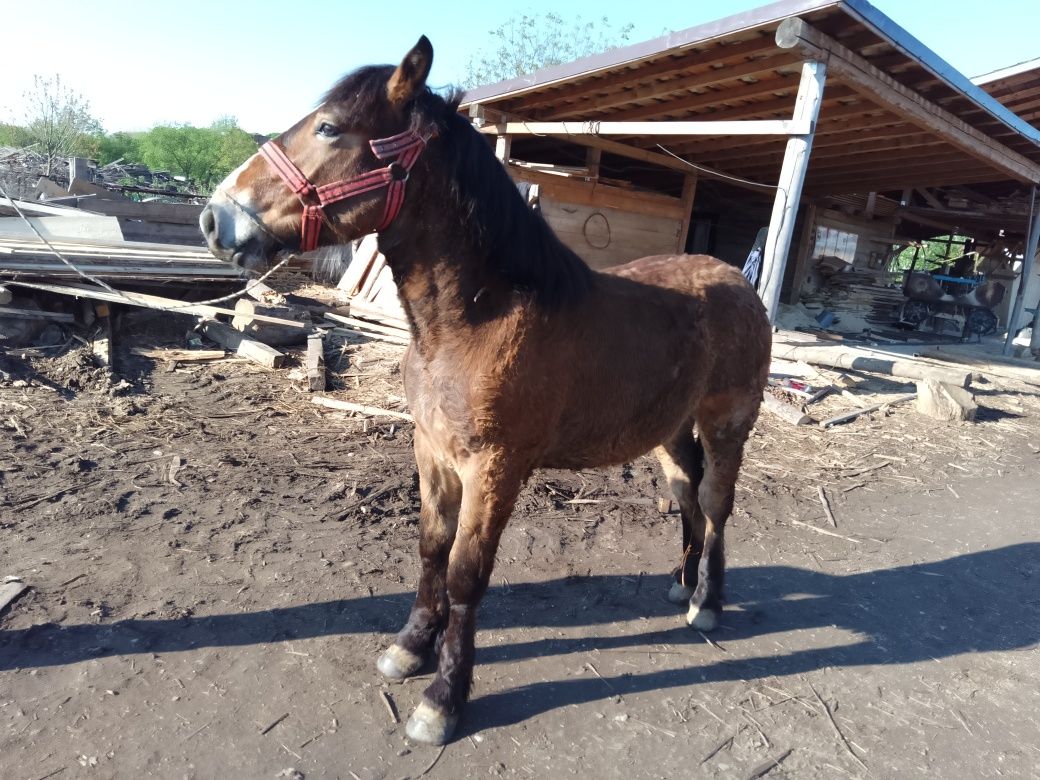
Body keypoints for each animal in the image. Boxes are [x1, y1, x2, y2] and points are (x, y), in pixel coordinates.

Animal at [200, 36, 773, 744]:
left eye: (330, 128)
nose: (215, 219)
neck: (475, 322)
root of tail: (738, 281)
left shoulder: (495, 469)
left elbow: (466, 575)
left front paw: (443, 699)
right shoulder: (432, 453)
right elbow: (430, 550)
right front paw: (410, 648)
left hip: (726, 426)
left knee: (717, 506)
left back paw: (707, 604)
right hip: (668, 433)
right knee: (688, 500)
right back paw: (681, 585)